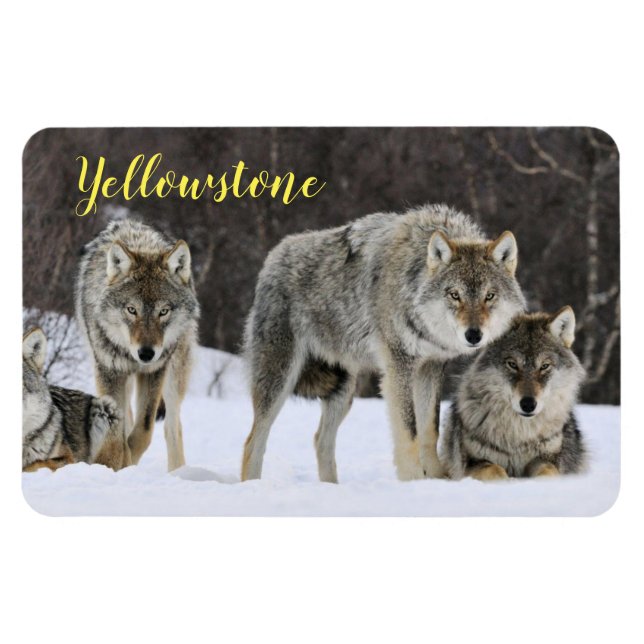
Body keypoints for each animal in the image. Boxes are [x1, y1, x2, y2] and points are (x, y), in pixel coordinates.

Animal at [75, 220, 199, 471]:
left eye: (164, 311)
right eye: (132, 310)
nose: (146, 353)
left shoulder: (154, 371)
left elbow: (143, 430)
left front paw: (128, 461)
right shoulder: (109, 371)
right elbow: (118, 431)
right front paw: (116, 464)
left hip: (174, 376)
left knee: (172, 427)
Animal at [241, 204, 526, 482]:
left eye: (489, 296)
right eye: (455, 295)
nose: (473, 335)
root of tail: (273, 256)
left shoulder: (431, 367)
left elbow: (429, 429)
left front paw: (436, 479)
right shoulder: (399, 366)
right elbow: (409, 432)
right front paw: (413, 481)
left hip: (343, 390)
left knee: (320, 440)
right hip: (280, 380)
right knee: (253, 441)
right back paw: (253, 484)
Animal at [441, 307, 586, 480]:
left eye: (544, 366)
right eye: (512, 364)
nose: (528, 404)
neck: (519, 437)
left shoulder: (548, 458)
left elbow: (547, 472)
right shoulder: (472, 463)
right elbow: (495, 471)